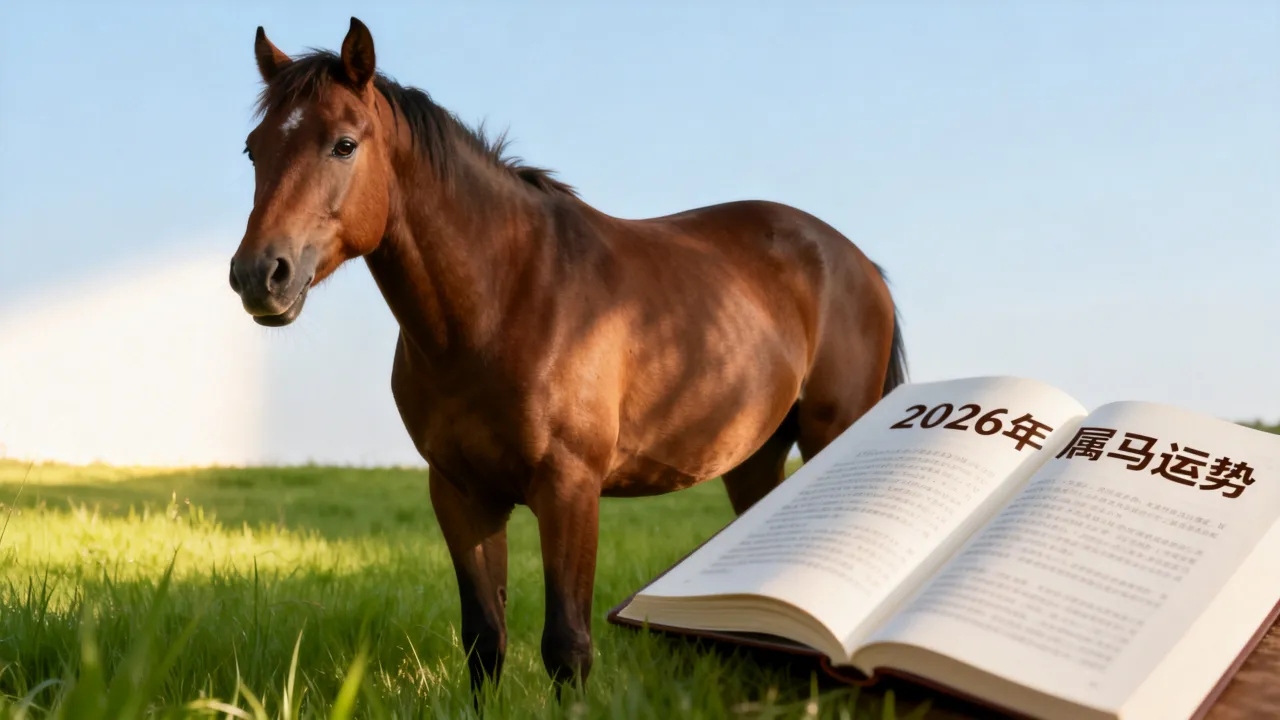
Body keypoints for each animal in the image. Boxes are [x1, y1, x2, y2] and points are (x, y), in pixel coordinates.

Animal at [228, 17, 908, 697]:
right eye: (254, 149)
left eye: (343, 145)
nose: (260, 275)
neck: (504, 300)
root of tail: (857, 262)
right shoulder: (461, 494)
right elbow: (485, 639)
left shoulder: (569, 489)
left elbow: (568, 646)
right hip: (753, 459)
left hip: (829, 436)